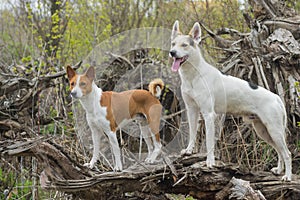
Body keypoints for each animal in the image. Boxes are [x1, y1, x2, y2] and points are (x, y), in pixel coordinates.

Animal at [170, 20, 292, 181]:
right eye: (173, 44)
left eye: (184, 45)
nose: (172, 52)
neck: (193, 75)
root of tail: (277, 98)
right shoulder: (192, 111)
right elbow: (192, 134)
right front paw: (189, 151)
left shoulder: (209, 115)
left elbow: (209, 142)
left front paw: (210, 162)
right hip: (264, 131)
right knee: (279, 151)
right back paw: (279, 170)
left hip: (274, 130)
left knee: (287, 153)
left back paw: (287, 176)